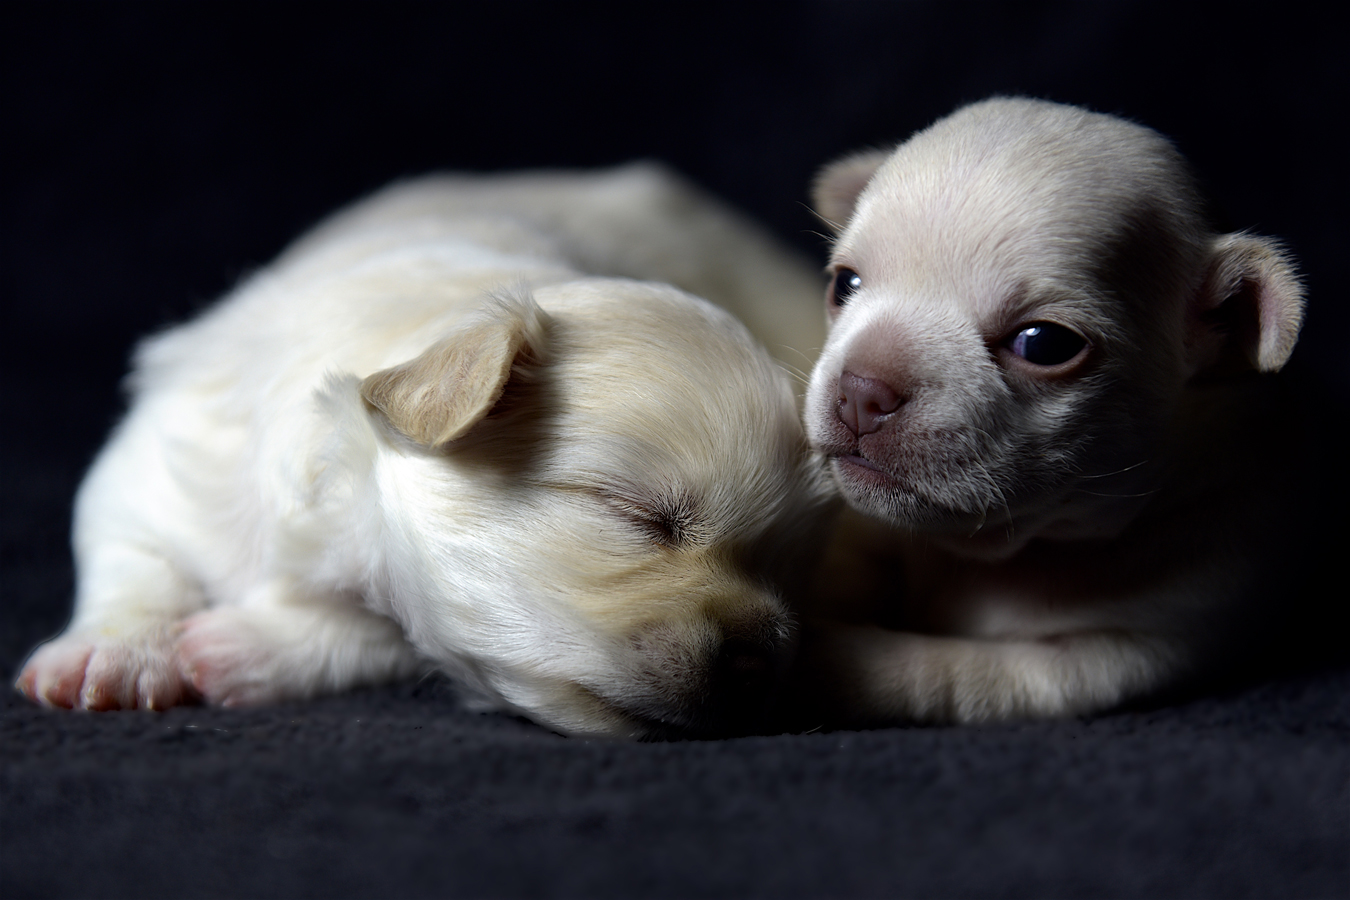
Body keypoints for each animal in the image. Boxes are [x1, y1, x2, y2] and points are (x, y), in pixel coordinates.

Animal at [13, 165, 831, 744]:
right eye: (638, 515)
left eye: (790, 567)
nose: (763, 661)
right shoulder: (161, 459)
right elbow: (132, 556)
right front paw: (114, 655)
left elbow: (378, 633)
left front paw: (235, 647)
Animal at [788, 98, 1306, 723]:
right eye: (844, 284)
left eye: (1043, 344)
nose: (863, 390)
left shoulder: (1123, 653)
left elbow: (958, 672)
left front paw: (818, 662)